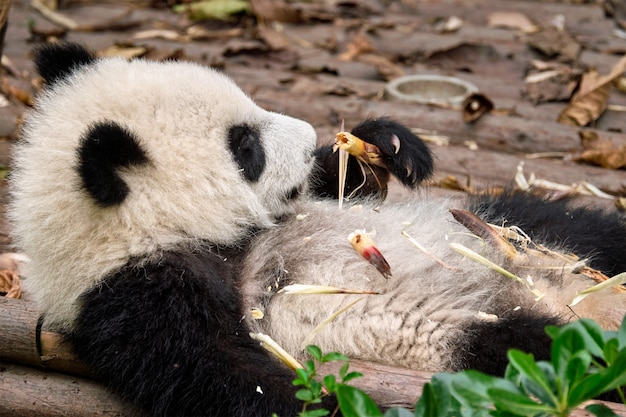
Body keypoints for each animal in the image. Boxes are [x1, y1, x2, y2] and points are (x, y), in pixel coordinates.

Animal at [8, 43, 624, 416]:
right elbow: (224, 375)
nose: (307, 139)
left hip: (512, 233)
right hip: (477, 338)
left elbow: (338, 187)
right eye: (246, 148)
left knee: (574, 227)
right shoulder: (138, 296)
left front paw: (387, 145)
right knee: (541, 345)